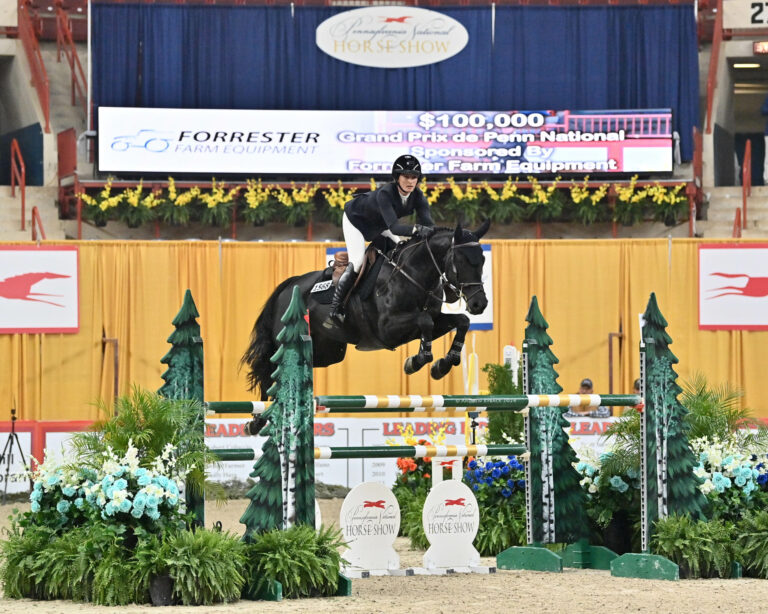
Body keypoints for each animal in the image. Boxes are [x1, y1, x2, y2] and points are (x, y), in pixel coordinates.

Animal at [243, 220, 488, 400]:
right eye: (461, 260)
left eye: (483, 259)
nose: (480, 304)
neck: (413, 273)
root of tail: (288, 286)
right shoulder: (387, 329)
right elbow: (425, 320)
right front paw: (416, 361)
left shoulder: (429, 321)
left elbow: (461, 321)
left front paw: (443, 365)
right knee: (270, 371)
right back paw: (258, 420)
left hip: (328, 352)